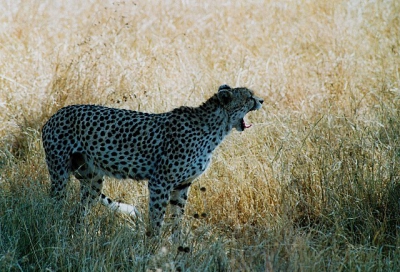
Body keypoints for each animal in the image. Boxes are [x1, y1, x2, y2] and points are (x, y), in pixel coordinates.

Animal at [43, 84, 262, 235]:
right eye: (248, 97)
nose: (261, 100)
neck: (215, 129)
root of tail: (55, 114)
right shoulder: (160, 183)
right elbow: (157, 221)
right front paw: (152, 248)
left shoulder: (182, 185)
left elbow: (177, 221)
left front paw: (177, 249)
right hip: (60, 173)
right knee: (54, 203)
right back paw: (54, 230)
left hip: (92, 180)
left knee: (81, 211)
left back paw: (82, 236)